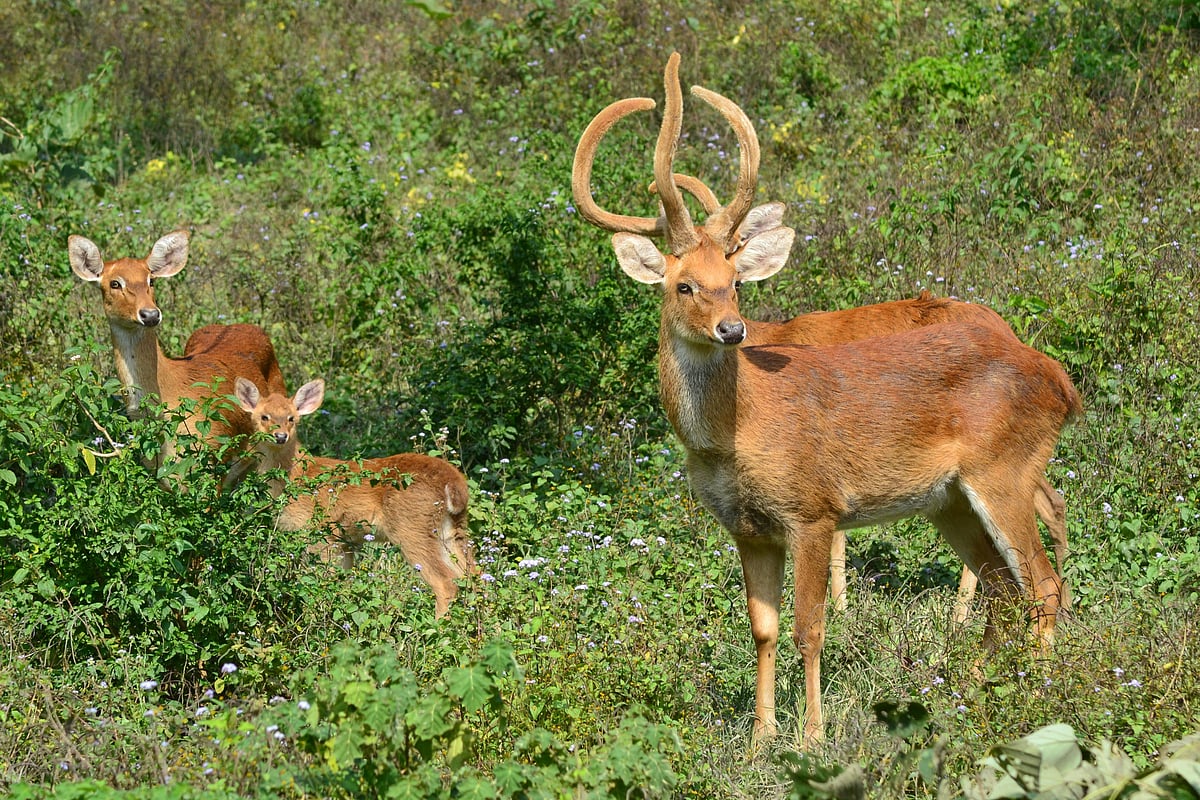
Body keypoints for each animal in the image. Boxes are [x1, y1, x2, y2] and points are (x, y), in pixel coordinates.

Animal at [233, 377, 475, 619]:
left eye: (292, 418)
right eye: (264, 416)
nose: (280, 436)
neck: (296, 476)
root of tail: (454, 483)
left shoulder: (322, 533)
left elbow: (322, 582)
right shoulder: (345, 541)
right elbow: (343, 583)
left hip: (411, 528)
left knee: (446, 583)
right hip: (452, 530)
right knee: (473, 576)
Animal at [645, 176, 1070, 623]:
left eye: (735, 269)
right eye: (684, 281)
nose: (729, 326)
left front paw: (841, 609)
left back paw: (966, 616)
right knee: (1052, 504)